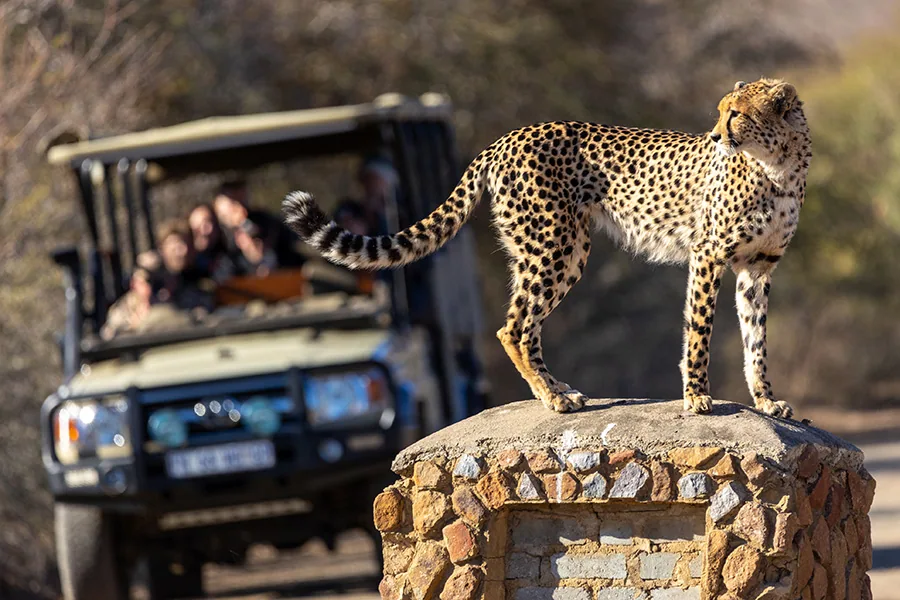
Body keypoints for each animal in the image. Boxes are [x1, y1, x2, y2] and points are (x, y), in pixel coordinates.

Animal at [283, 78, 811, 418]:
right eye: (721, 111)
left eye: (736, 113)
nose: (717, 135)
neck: (776, 167)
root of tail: (509, 136)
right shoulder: (708, 256)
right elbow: (699, 331)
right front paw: (697, 397)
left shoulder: (757, 269)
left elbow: (756, 341)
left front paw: (767, 400)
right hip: (555, 243)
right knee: (513, 327)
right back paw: (553, 399)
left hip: (552, 249)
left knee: (525, 325)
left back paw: (556, 392)